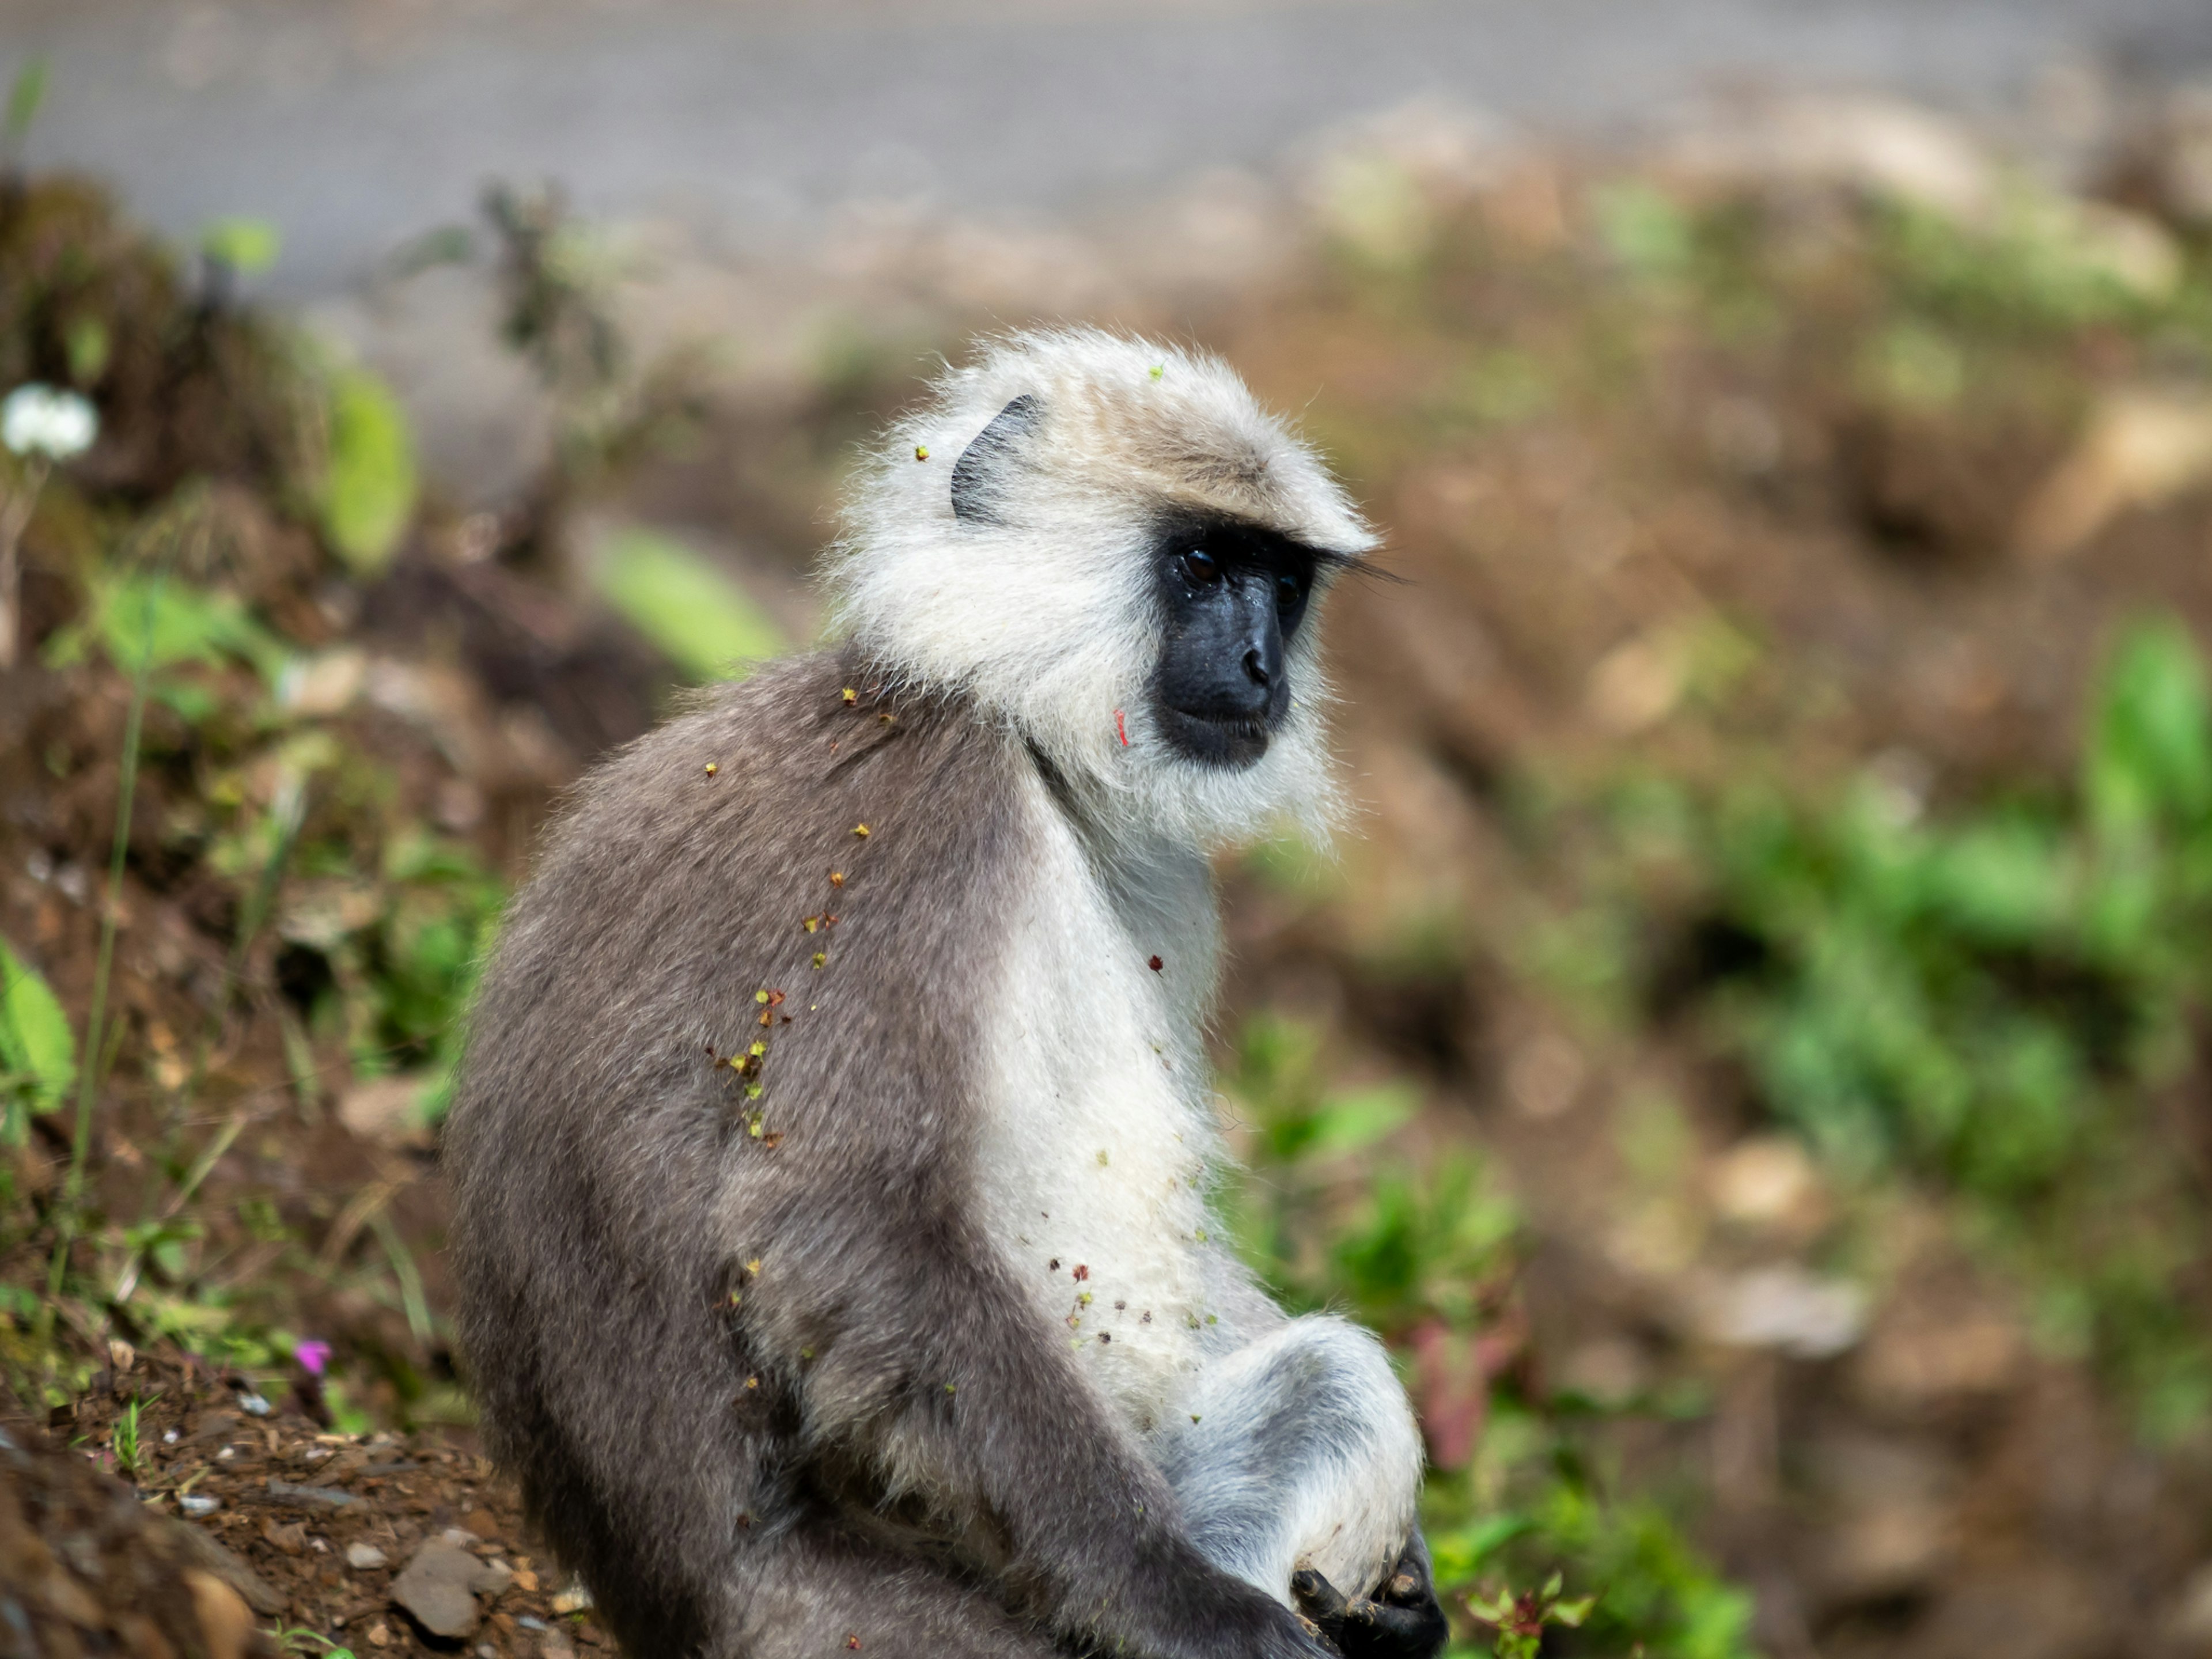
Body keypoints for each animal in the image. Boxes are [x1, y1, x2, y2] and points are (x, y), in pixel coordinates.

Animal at [449, 327, 1451, 1659]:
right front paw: (1182, 1601)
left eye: (1282, 587)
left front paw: (1406, 1596)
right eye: (1201, 564)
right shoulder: (929, 823)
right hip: (860, 1628)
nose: (1258, 667)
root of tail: (670, 1602)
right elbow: (846, 1226)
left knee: (1327, 1382)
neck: (1019, 736)